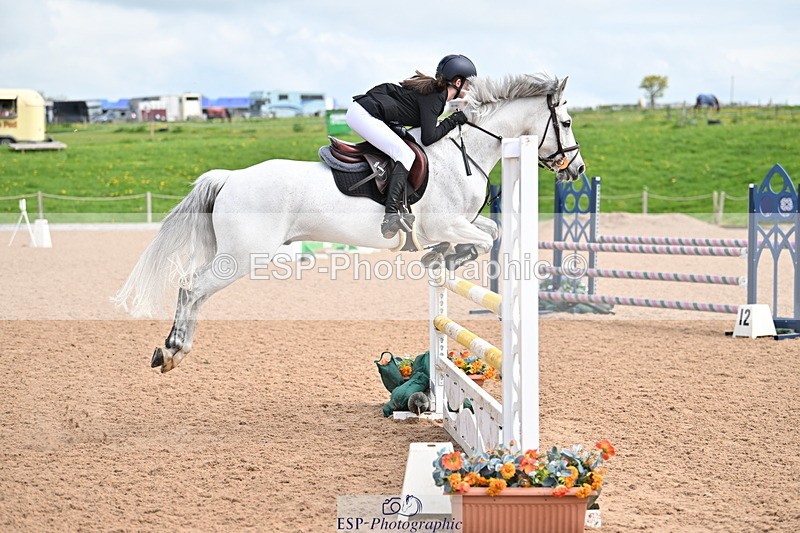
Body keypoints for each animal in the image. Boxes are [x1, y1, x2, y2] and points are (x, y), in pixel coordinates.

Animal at [114, 73, 586, 373]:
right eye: (564, 122)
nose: (577, 169)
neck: (463, 153)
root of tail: (231, 177)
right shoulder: (447, 223)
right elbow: (487, 238)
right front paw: (445, 258)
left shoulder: (457, 225)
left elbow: (489, 233)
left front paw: (440, 260)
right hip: (244, 256)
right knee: (191, 287)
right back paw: (172, 351)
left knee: (194, 290)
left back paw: (172, 352)